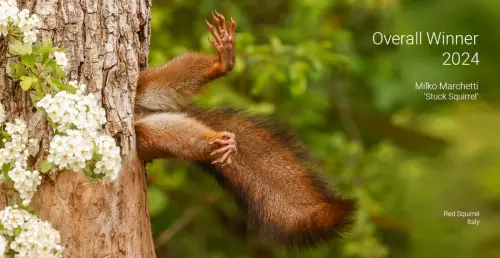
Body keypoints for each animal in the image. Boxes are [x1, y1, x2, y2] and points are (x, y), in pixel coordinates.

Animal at [134, 12, 356, 248]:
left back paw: (222, 64)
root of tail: (141, 113)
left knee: (169, 79)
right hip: (147, 136)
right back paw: (218, 142)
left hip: (146, 85)